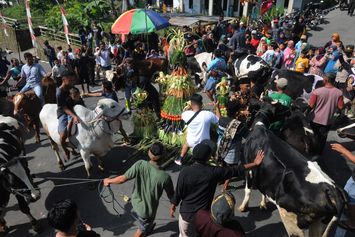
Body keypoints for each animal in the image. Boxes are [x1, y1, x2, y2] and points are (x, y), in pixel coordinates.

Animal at [242, 101, 348, 237]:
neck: (260, 127)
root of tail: (332, 190)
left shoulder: (249, 168)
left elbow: (247, 190)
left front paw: (243, 207)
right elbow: (263, 192)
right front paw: (263, 204)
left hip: (291, 217)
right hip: (322, 224)